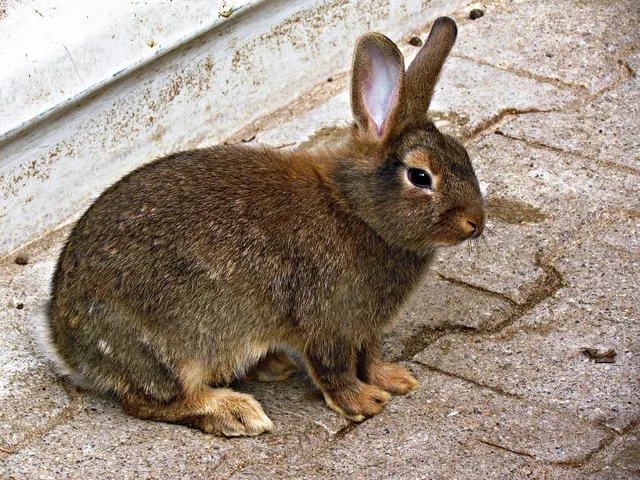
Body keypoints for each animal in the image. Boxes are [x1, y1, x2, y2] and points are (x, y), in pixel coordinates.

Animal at [46, 17, 485, 437]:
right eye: (420, 177)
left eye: (463, 155)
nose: (475, 224)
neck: (356, 209)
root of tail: (64, 341)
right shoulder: (327, 321)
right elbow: (335, 368)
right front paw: (365, 403)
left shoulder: (364, 327)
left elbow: (370, 356)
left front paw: (396, 380)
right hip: (167, 349)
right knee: (149, 401)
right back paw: (236, 413)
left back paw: (270, 366)